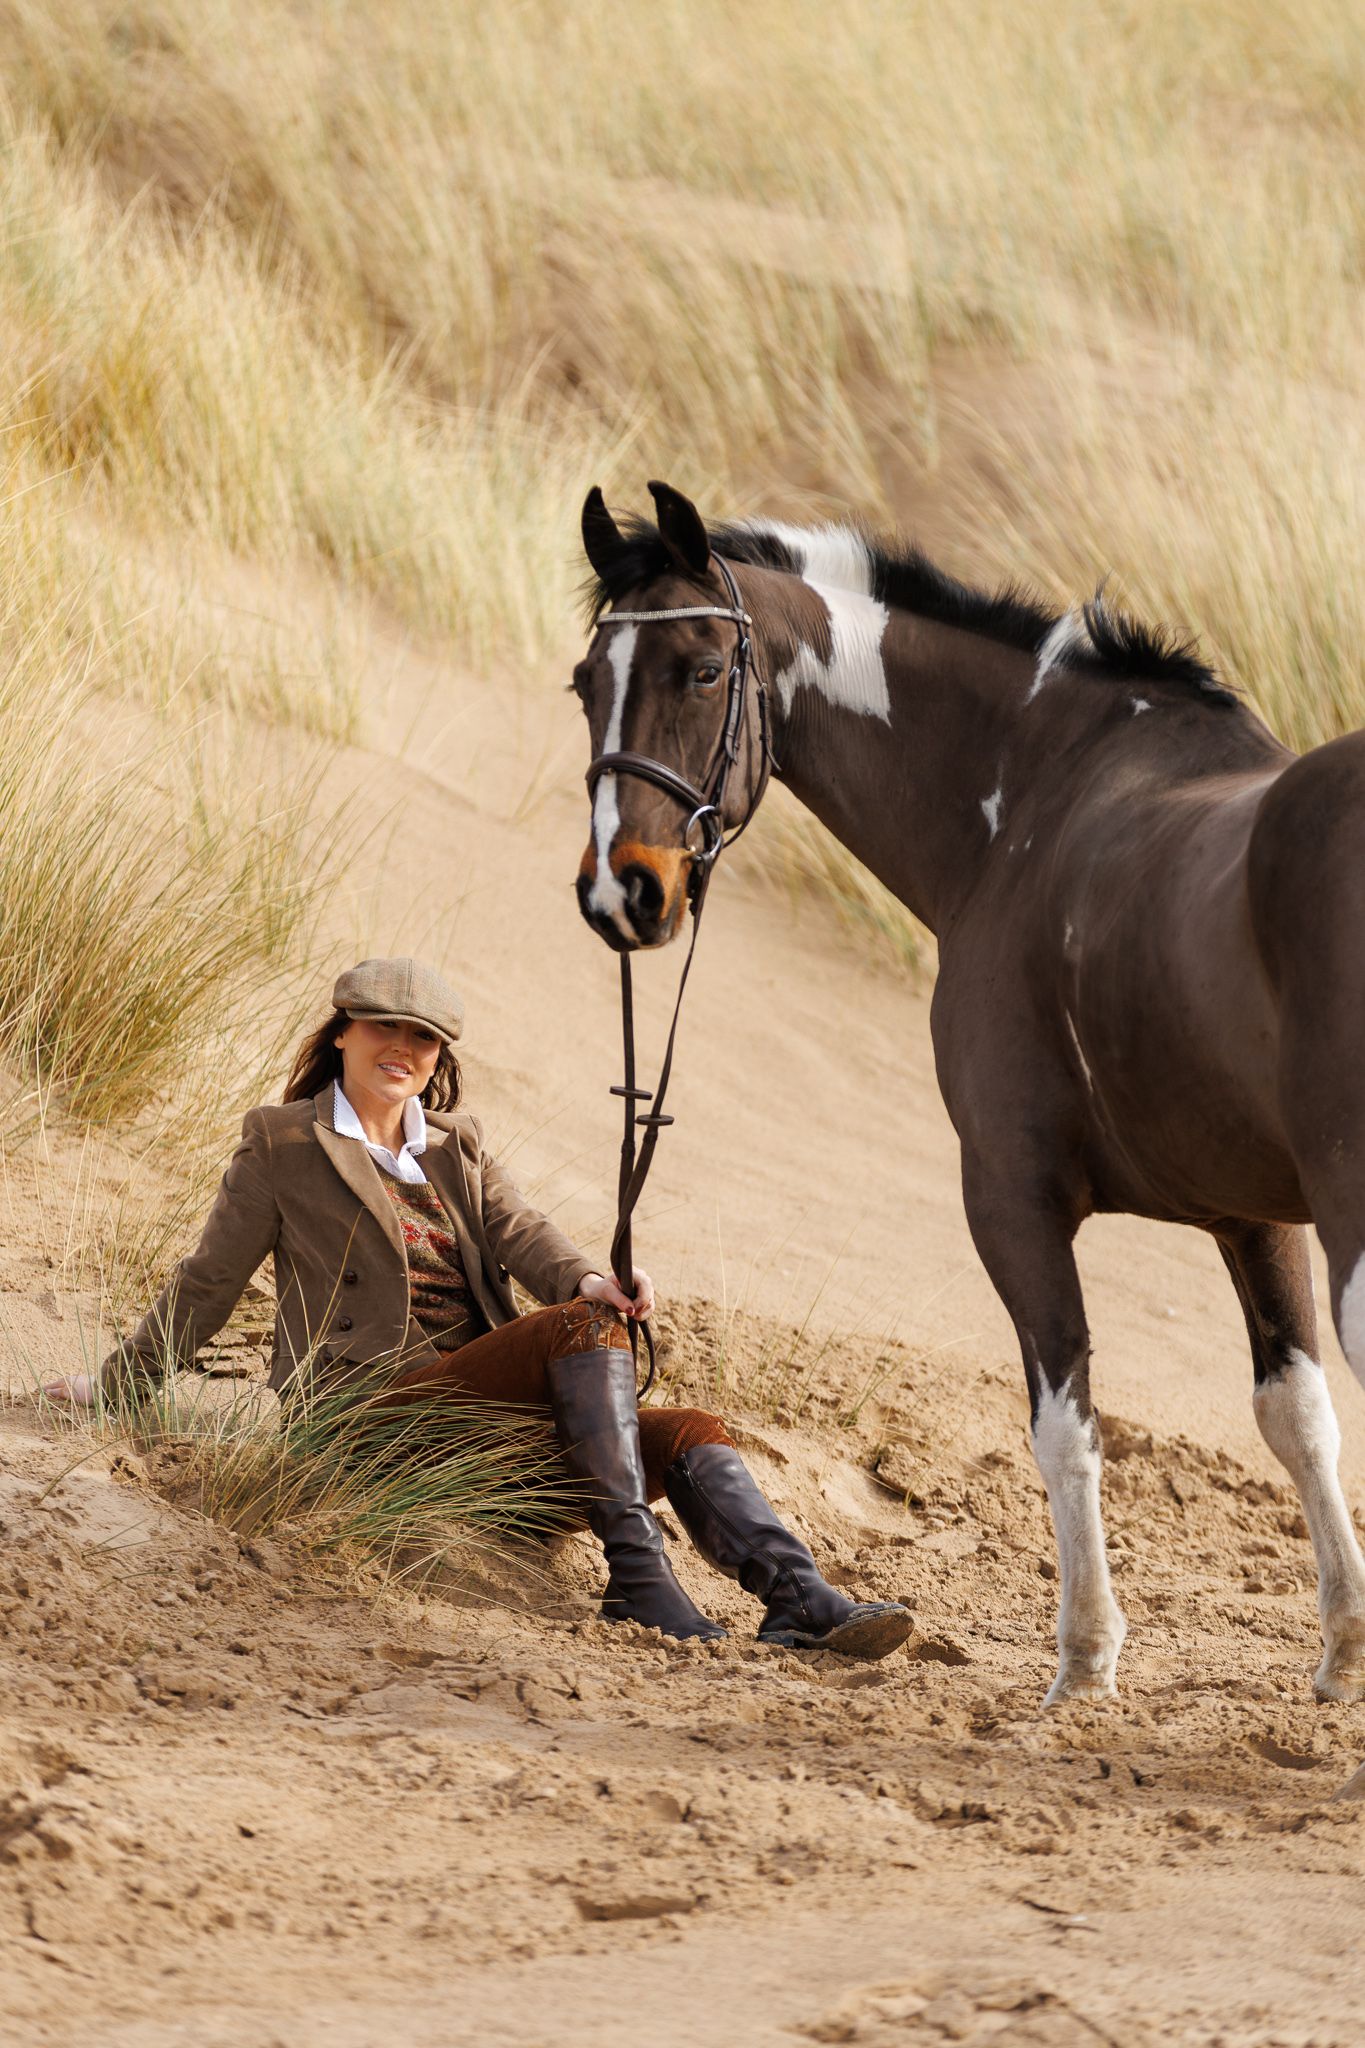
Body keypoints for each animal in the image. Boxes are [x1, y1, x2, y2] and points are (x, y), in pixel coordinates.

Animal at [568, 478, 1365, 1709]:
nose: (623, 893)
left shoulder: (1010, 1197)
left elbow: (1066, 1426)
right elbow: (1297, 1417)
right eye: (582, 684)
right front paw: (1340, 1648)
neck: (1030, 799)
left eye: (700, 669)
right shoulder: (1250, 1214)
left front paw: (1083, 1664)